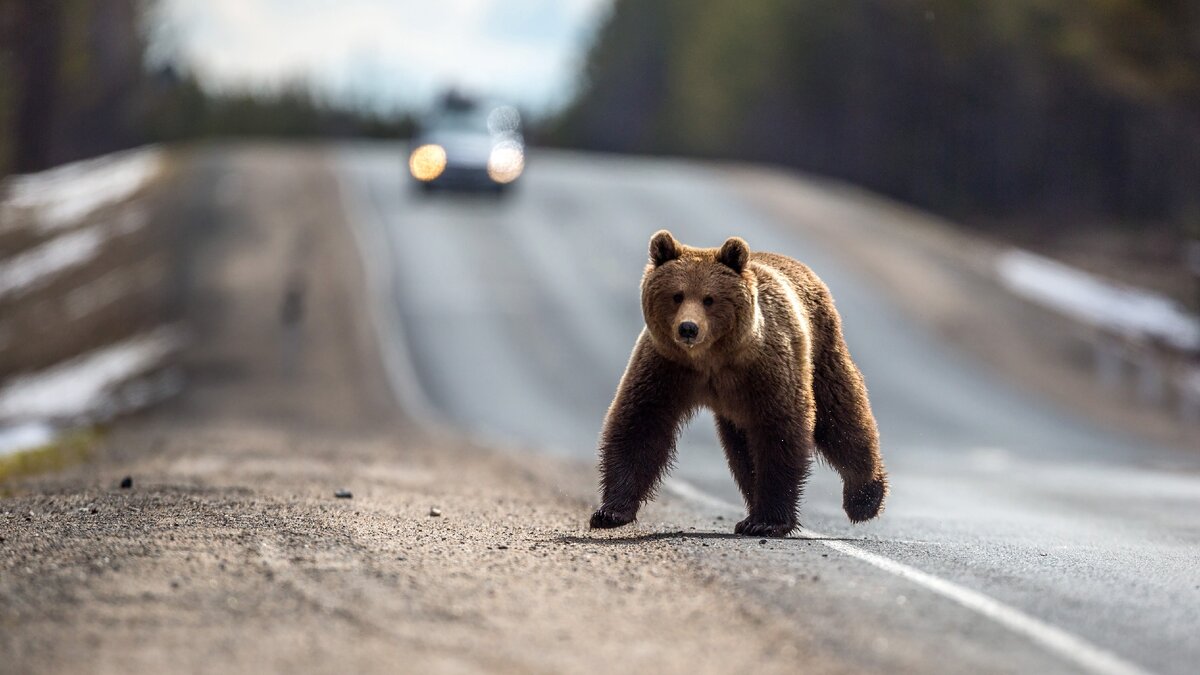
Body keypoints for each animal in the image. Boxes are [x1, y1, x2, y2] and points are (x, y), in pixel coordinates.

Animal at [585, 228, 888, 533]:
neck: (711, 359)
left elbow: (781, 432)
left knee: (841, 416)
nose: (688, 329)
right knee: (742, 451)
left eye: (709, 298)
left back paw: (864, 498)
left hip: (819, 351)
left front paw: (769, 522)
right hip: (737, 409)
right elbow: (640, 423)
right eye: (677, 295)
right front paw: (610, 512)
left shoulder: (765, 368)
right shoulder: (667, 366)